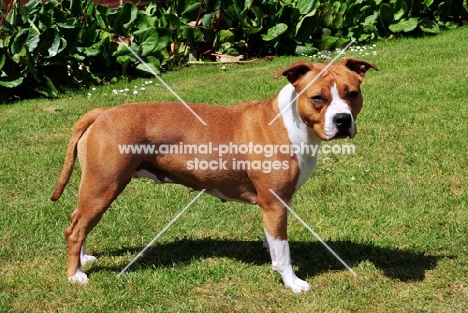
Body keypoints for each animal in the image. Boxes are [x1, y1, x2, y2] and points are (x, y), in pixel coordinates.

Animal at [50, 56, 376, 292]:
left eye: (353, 94)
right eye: (318, 98)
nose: (342, 119)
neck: (290, 122)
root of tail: (102, 113)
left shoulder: (275, 204)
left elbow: (273, 241)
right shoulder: (275, 203)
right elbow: (283, 251)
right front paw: (292, 282)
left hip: (95, 188)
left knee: (78, 221)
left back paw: (83, 259)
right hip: (104, 185)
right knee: (75, 229)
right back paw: (75, 276)